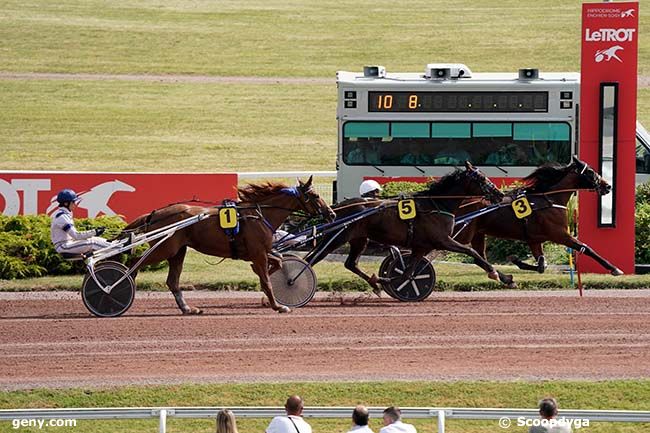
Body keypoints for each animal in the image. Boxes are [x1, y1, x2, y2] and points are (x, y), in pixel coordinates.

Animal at [123, 176, 334, 314]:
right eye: (315, 196)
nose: (331, 214)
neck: (260, 215)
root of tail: (154, 214)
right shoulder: (258, 253)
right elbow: (267, 280)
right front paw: (278, 305)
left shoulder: (259, 252)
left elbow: (279, 261)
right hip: (164, 248)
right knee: (134, 263)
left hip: (178, 252)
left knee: (172, 281)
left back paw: (188, 308)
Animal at [302, 160, 512, 292]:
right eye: (482, 178)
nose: (500, 194)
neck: (436, 205)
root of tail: (338, 207)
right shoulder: (443, 240)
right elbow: (473, 252)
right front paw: (495, 273)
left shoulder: (421, 246)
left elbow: (408, 273)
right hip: (339, 237)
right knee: (312, 259)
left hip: (359, 239)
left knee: (350, 263)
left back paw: (375, 284)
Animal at [450, 157, 624, 276]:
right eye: (590, 172)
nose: (608, 186)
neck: (550, 199)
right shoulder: (559, 234)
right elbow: (586, 248)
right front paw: (614, 268)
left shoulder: (534, 239)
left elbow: (541, 265)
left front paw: (517, 260)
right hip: (463, 233)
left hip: (477, 234)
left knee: (479, 257)